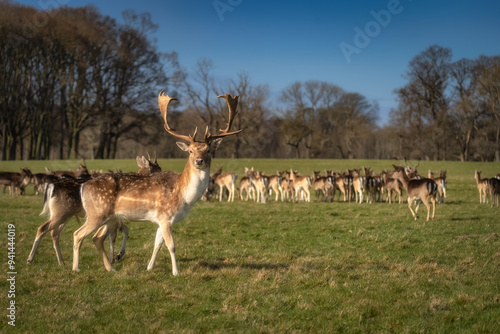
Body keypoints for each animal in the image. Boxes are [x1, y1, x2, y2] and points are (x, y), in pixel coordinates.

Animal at [71, 92, 241, 276]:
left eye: (208, 150)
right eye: (190, 151)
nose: (199, 160)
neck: (183, 195)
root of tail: (83, 187)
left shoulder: (161, 219)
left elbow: (157, 244)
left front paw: (149, 267)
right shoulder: (165, 216)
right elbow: (171, 245)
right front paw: (176, 272)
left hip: (110, 218)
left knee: (97, 238)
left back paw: (110, 268)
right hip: (97, 213)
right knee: (78, 234)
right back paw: (76, 267)